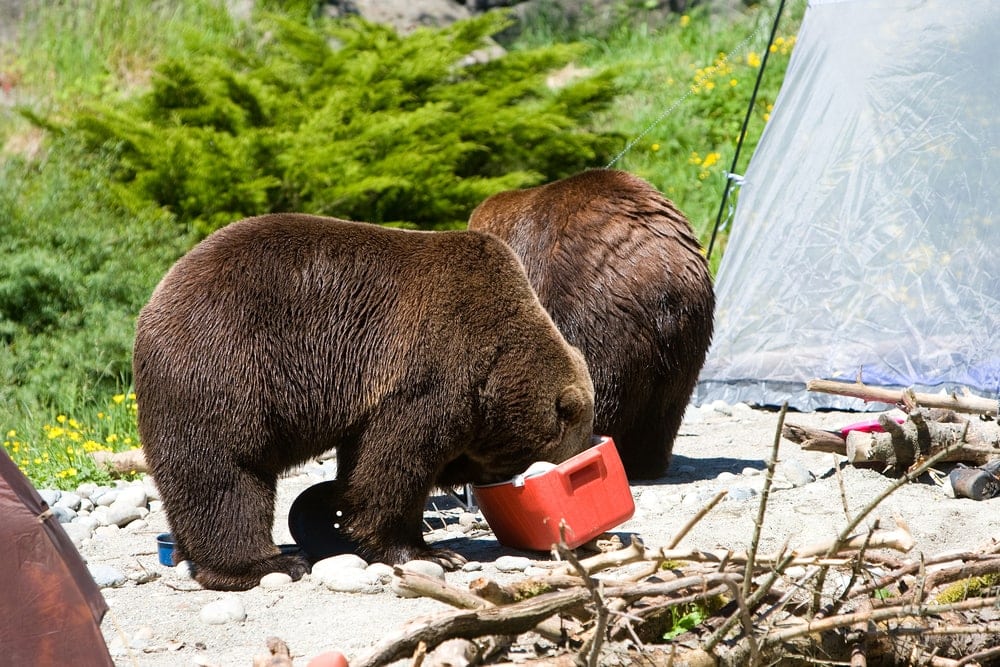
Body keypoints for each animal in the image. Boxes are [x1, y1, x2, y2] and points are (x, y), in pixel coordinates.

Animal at [133, 213, 594, 591]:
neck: (498, 361)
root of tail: (154, 303)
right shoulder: (428, 367)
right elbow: (396, 462)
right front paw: (432, 551)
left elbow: (363, 462)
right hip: (227, 364)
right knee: (226, 471)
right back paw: (265, 564)